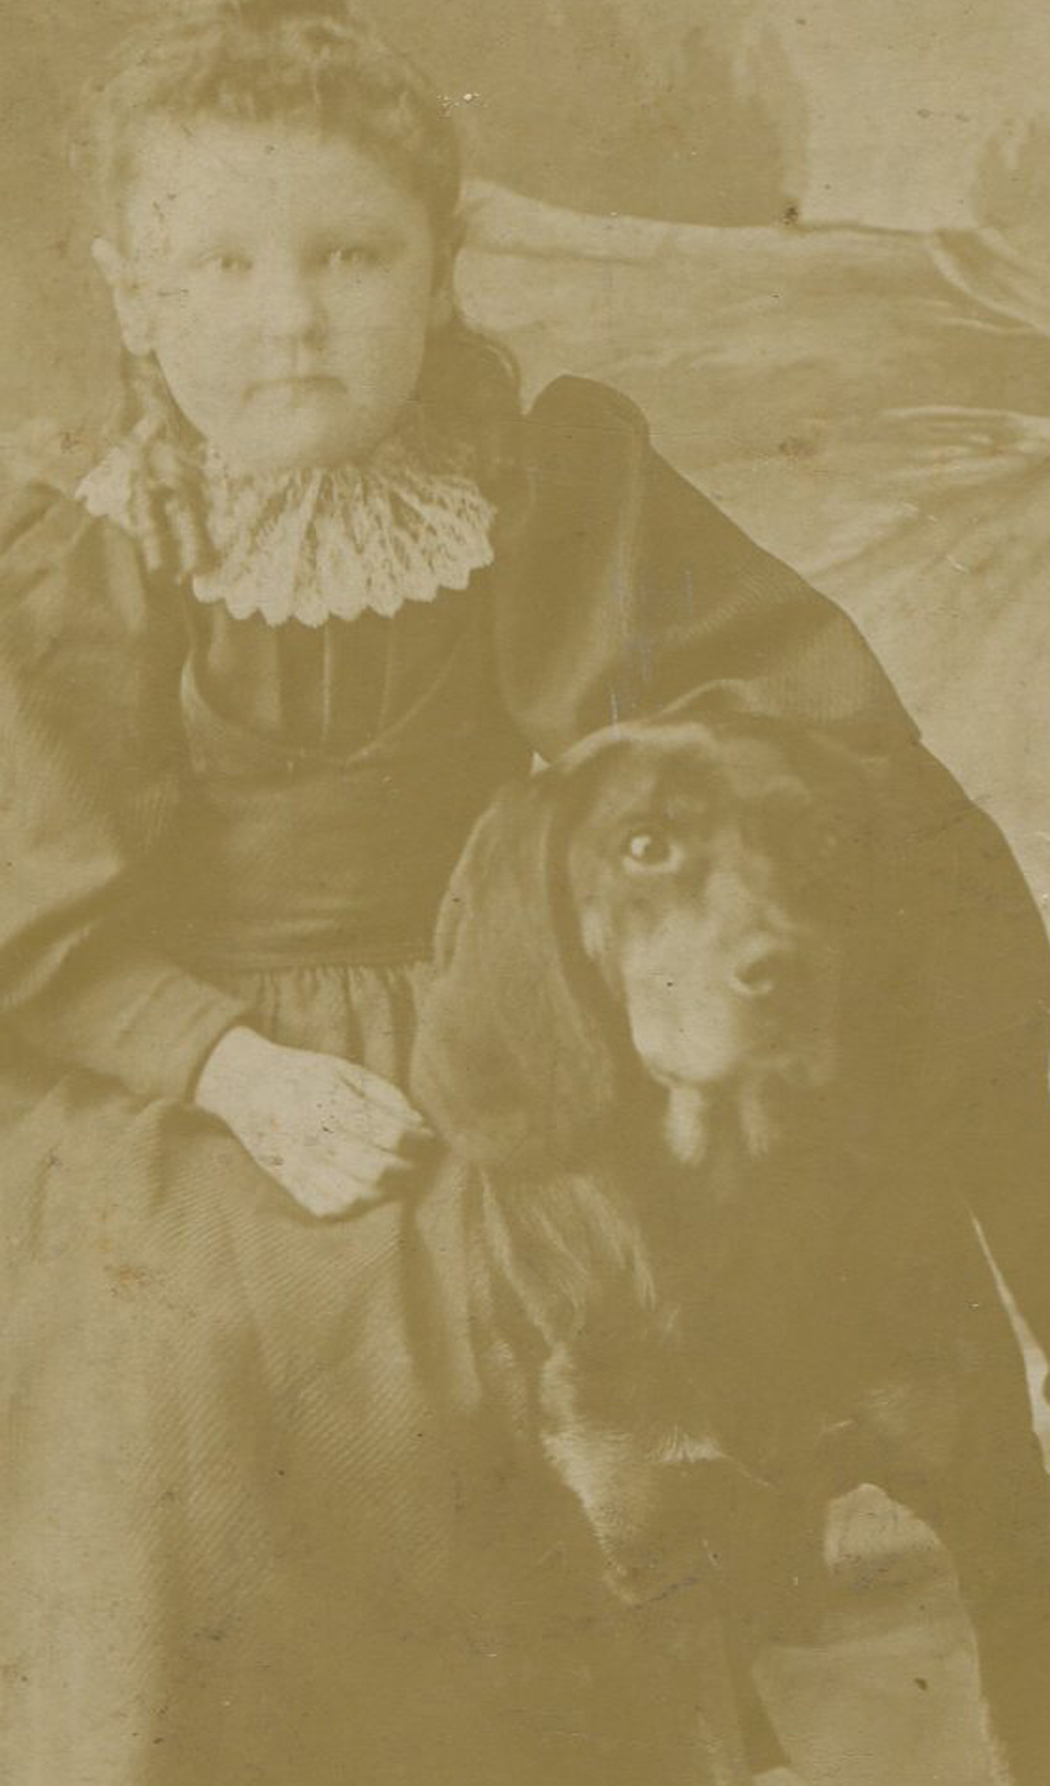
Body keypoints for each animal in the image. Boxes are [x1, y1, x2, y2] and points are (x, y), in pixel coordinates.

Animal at [411, 702, 1050, 1786]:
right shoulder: (652, 1567)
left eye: (829, 838)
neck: (734, 1216)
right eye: (644, 845)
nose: (784, 974)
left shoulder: (988, 1485)